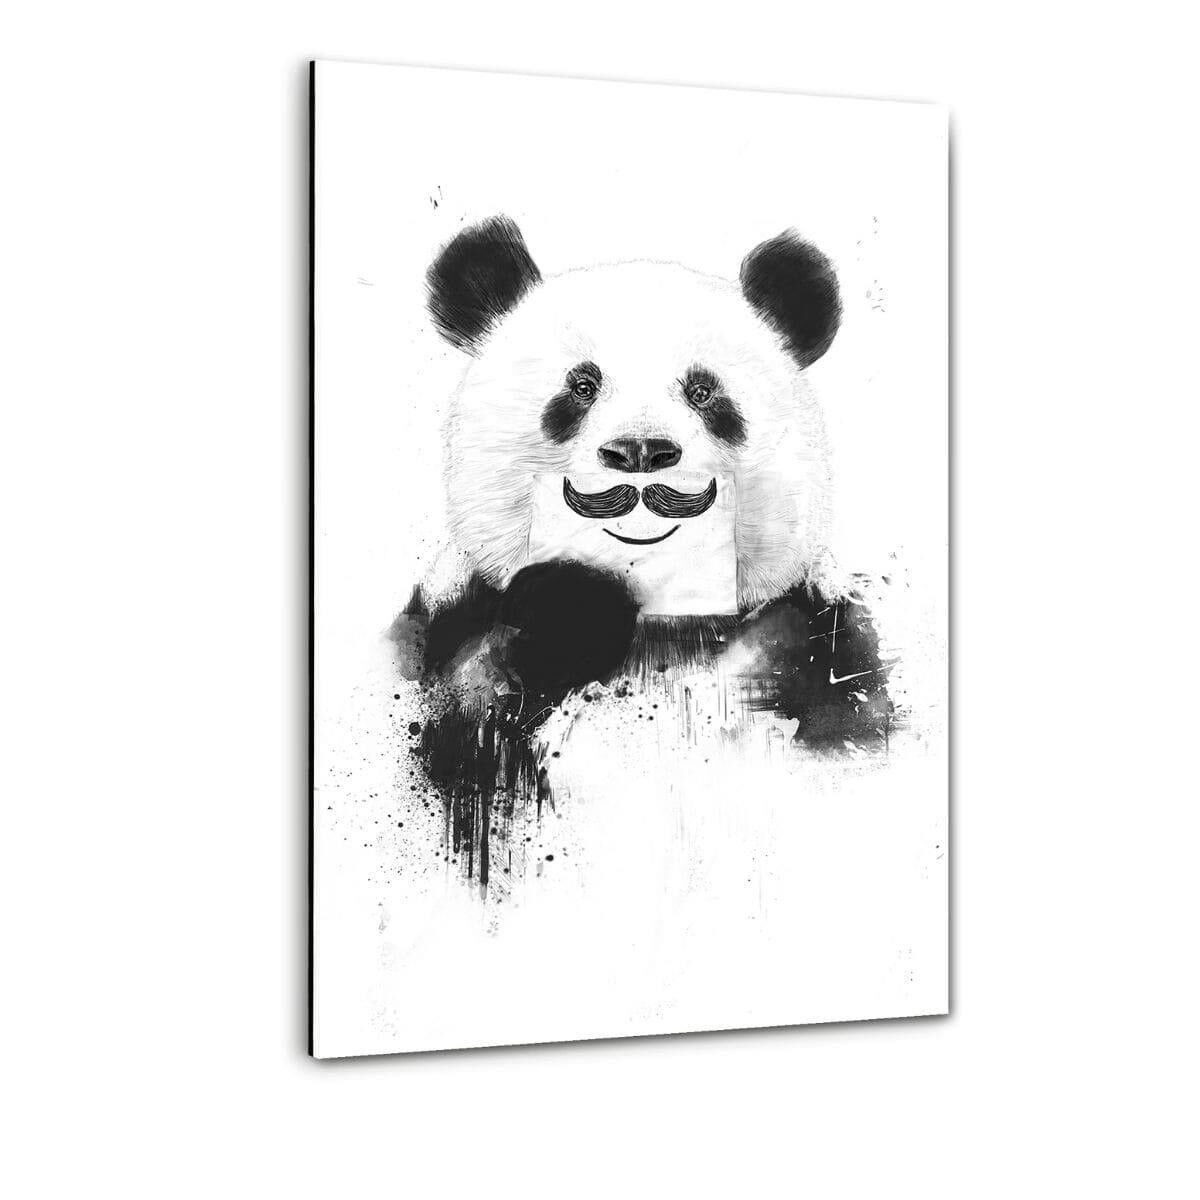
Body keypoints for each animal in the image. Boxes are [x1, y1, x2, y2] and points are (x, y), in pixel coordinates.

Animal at [392, 215, 892, 888]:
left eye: (703, 391)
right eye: (582, 386)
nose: (640, 451)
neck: (657, 628)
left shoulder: (815, 636)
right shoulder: (444, 632)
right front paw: (569, 608)